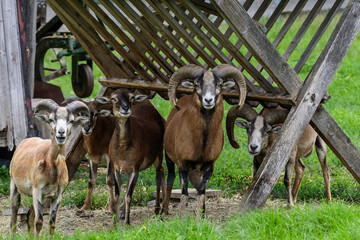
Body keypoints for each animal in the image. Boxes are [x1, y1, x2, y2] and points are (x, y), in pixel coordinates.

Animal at [9, 99, 89, 236]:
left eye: (71, 120)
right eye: (51, 119)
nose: (61, 133)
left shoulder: (57, 196)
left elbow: (52, 224)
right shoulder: (37, 191)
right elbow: (39, 222)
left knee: (30, 216)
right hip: (15, 189)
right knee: (13, 220)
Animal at [163, 63, 248, 219]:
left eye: (219, 84)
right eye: (197, 84)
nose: (208, 100)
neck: (201, 142)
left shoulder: (209, 167)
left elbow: (201, 193)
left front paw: (199, 220)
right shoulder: (183, 165)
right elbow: (184, 194)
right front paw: (182, 220)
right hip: (169, 159)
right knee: (170, 180)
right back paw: (162, 213)